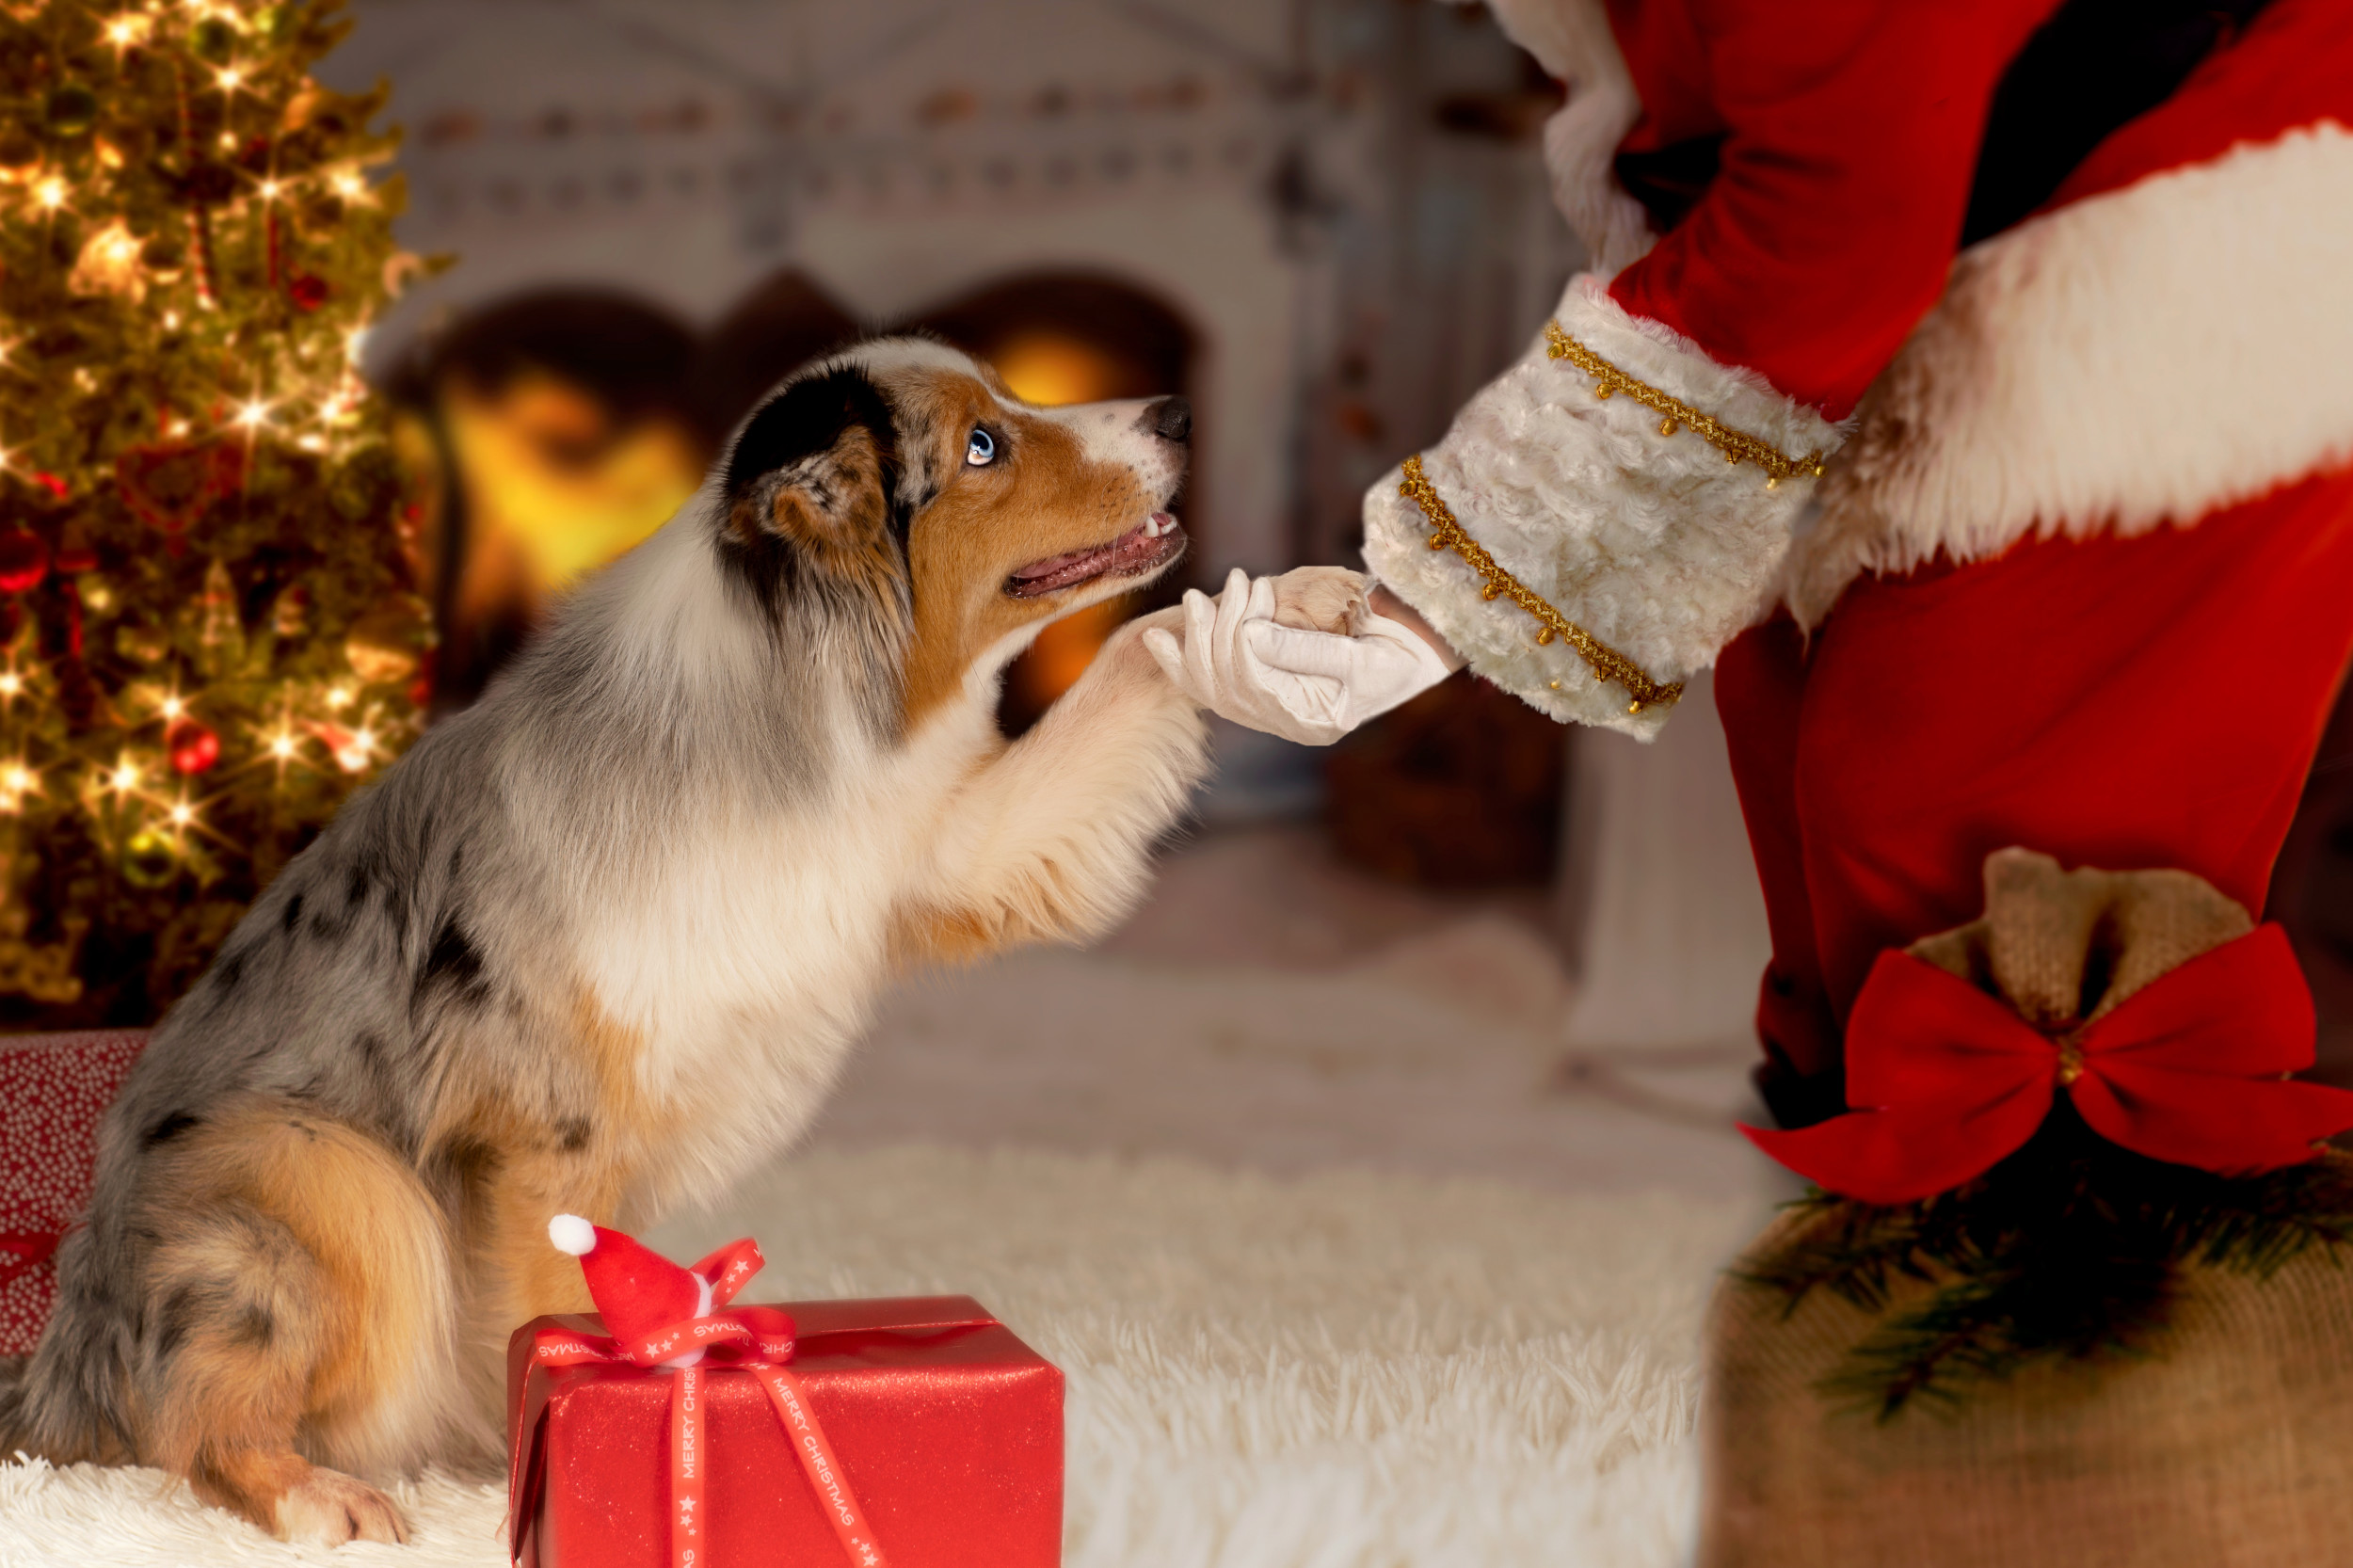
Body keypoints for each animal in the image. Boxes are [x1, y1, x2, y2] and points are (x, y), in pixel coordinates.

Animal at [0, 336, 1374, 1534]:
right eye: (982, 442)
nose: (1179, 414)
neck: (784, 699)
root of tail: (57, 1352)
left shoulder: (935, 841)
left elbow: (1141, 655)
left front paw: (1286, 613)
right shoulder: (544, 1131)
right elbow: (549, 1305)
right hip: (327, 1173)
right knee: (191, 1417)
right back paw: (315, 1493)